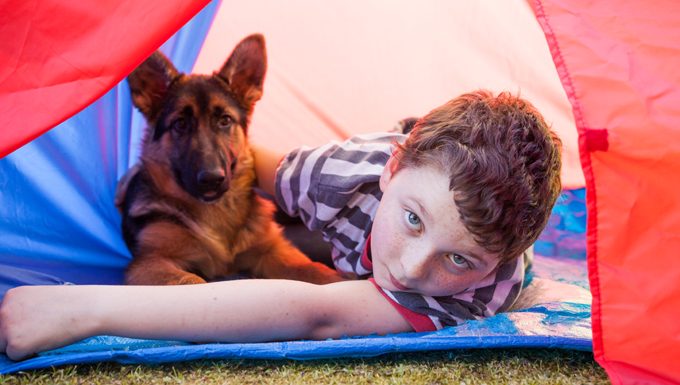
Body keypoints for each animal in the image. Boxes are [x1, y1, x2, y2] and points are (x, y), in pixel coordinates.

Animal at [115, 33, 346, 284]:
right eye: (180, 124)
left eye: (225, 120)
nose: (212, 179)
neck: (215, 212)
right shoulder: (151, 263)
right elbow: (193, 281)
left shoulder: (272, 250)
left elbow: (313, 269)